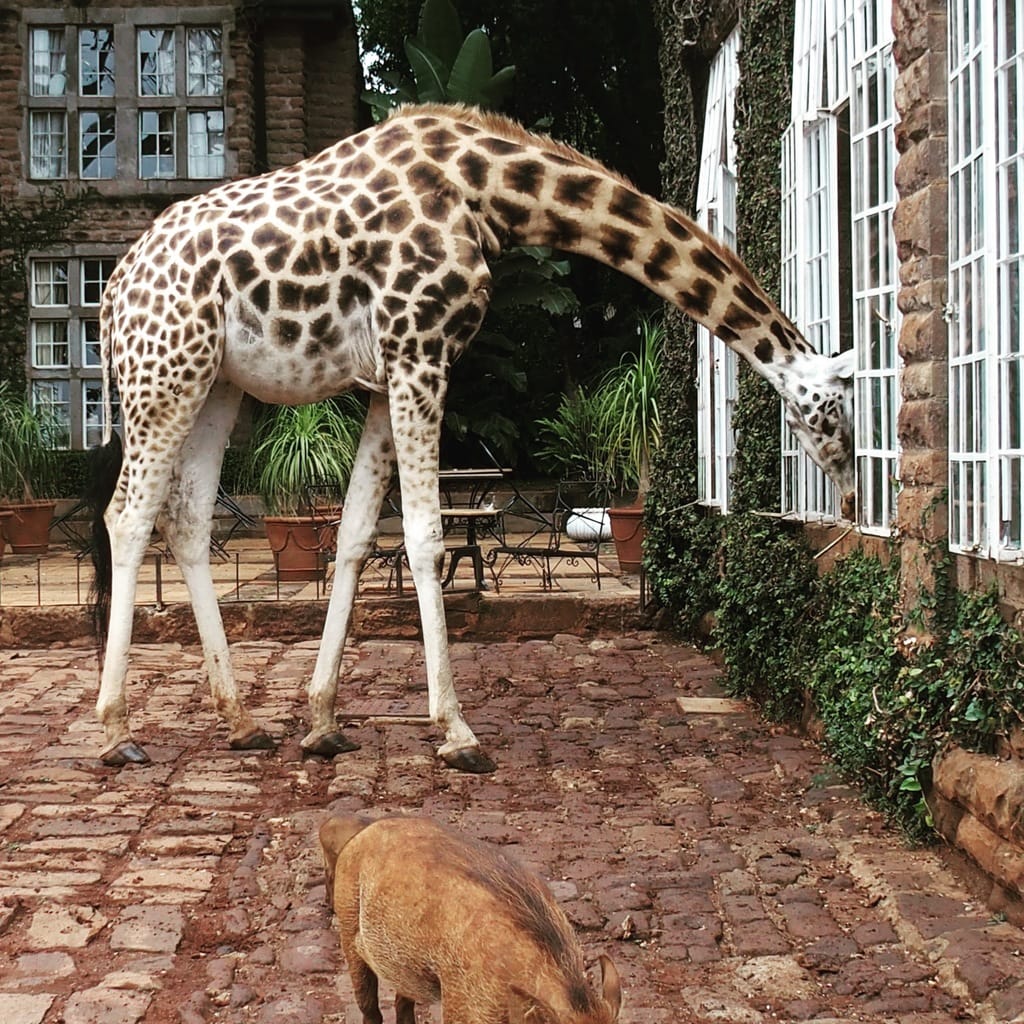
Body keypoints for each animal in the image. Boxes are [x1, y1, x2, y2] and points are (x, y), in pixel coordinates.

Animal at [90, 105, 856, 774]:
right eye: (837, 416)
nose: (850, 503)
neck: (489, 192)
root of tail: (111, 293)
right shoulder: (420, 351)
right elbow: (426, 536)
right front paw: (456, 732)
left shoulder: (389, 373)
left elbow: (356, 536)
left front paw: (322, 720)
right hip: (163, 371)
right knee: (126, 516)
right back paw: (116, 732)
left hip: (216, 380)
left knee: (187, 518)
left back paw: (242, 722)